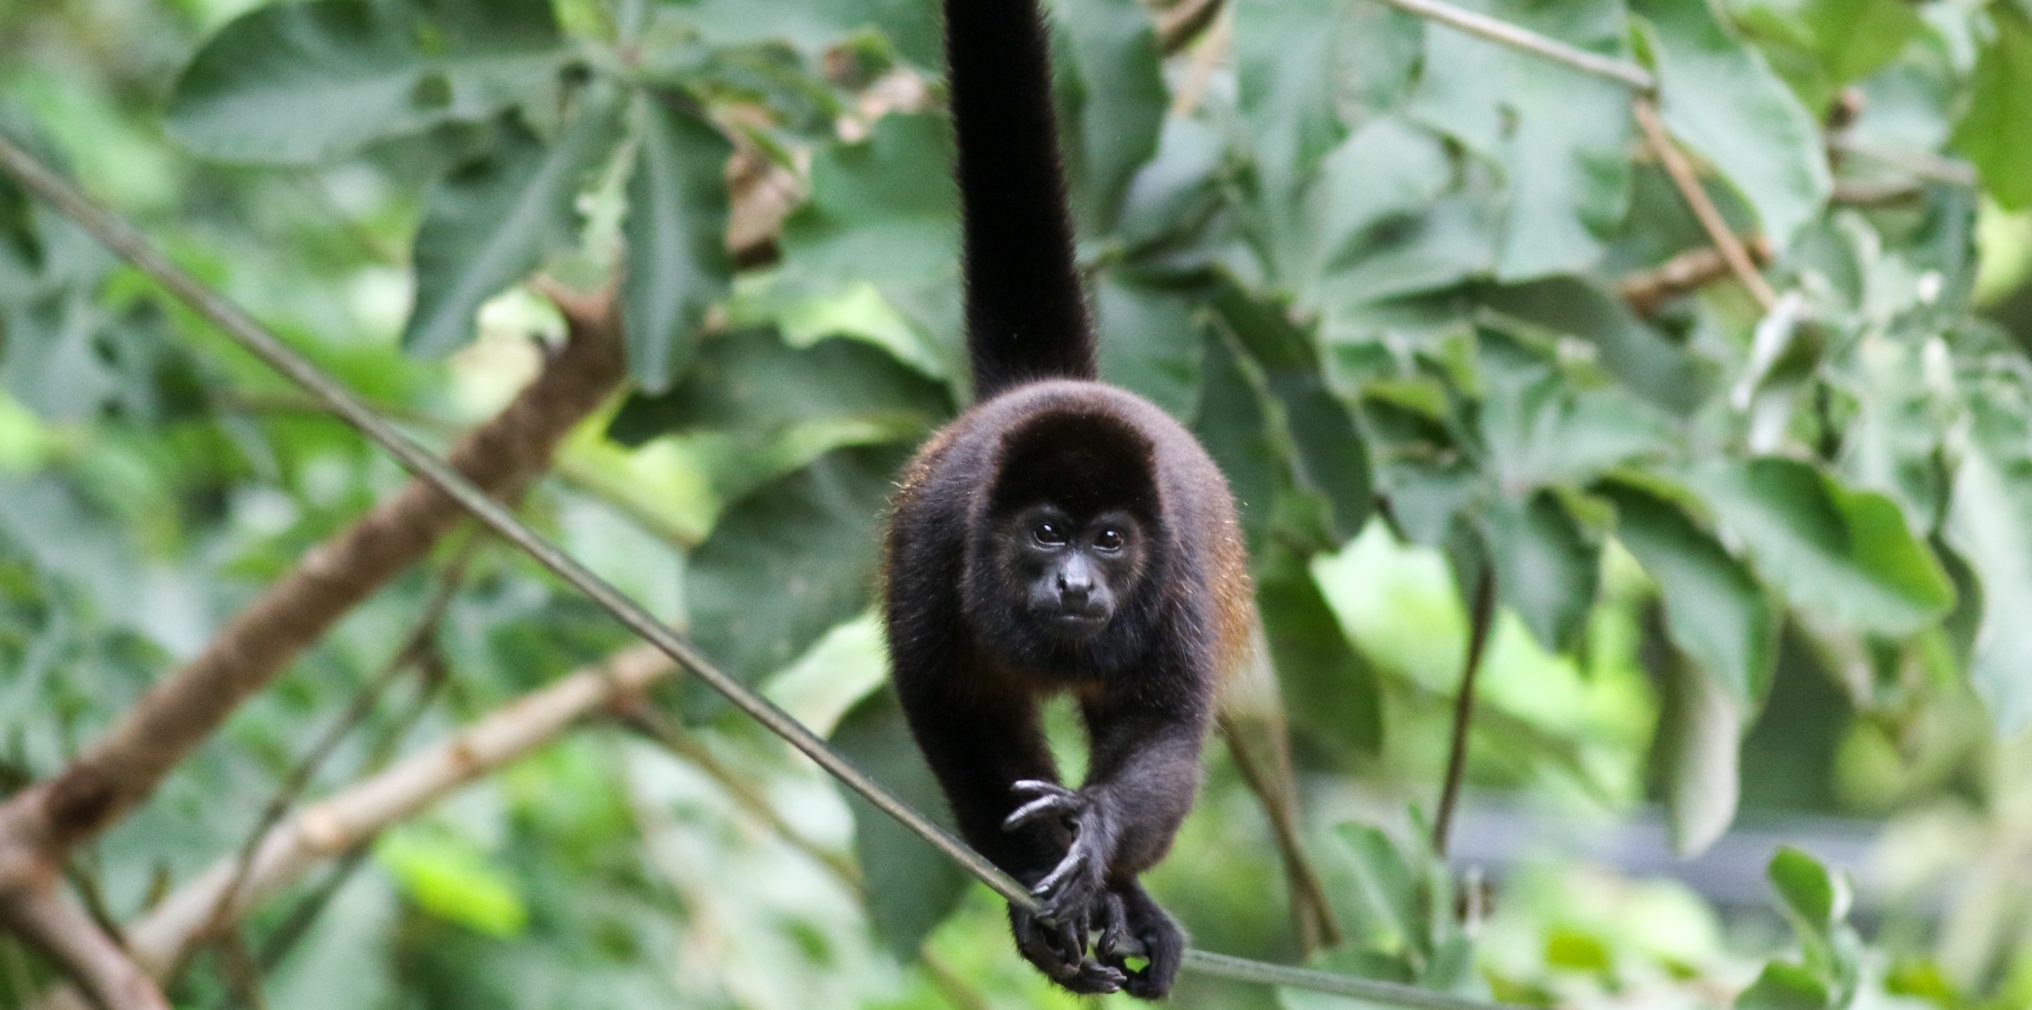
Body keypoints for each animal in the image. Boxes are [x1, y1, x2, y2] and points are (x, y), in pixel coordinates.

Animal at [879, 0, 1257, 998]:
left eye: (1112, 540)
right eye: (1047, 533)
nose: (1079, 584)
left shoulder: (1178, 570)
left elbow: (1165, 725)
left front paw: (1095, 836)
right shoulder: (939, 540)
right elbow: (950, 703)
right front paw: (1038, 888)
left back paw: (1130, 903)